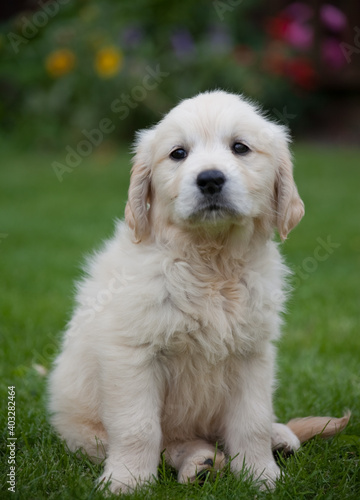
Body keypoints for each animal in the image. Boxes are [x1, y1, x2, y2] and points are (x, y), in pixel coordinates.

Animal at [47, 90, 348, 492]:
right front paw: (126, 481)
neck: (211, 262)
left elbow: (252, 422)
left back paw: (278, 437)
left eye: (240, 148)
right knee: (172, 444)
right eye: (178, 153)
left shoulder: (252, 354)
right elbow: (138, 427)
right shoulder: (132, 354)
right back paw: (200, 463)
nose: (210, 180)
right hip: (84, 429)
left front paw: (261, 475)